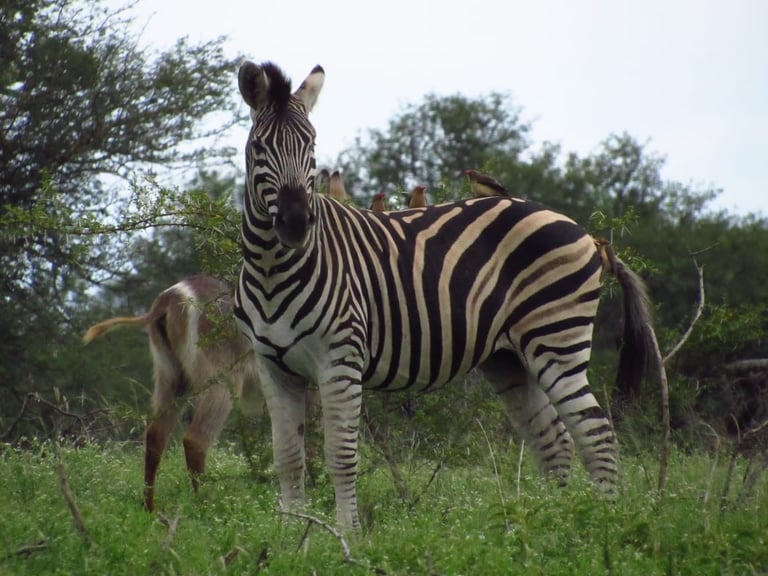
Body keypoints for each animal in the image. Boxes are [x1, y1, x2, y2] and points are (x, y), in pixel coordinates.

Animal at [233, 60, 655, 531]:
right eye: (259, 147)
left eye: (311, 145)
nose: (295, 222)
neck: (273, 269)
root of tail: (583, 230)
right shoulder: (273, 368)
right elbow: (288, 459)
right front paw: (291, 536)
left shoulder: (339, 359)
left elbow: (340, 456)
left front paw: (348, 535)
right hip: (508, 358)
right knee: (554, 440)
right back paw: (552, 523)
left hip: (556, 338)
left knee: (597, 434)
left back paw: (602, 524)